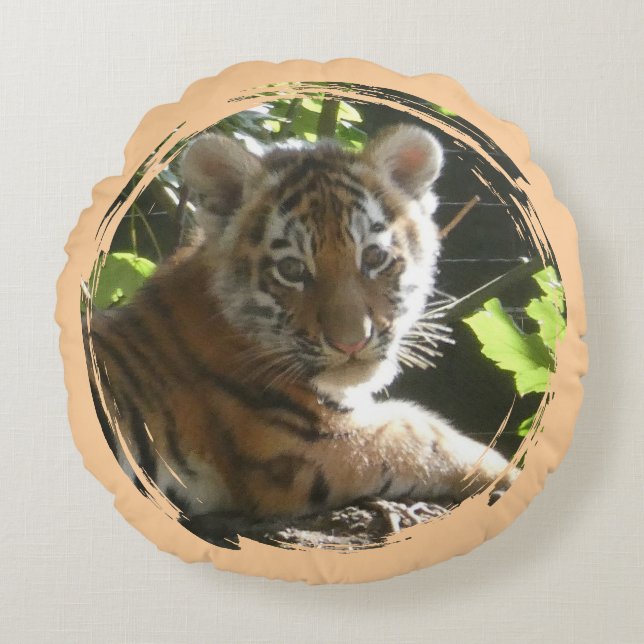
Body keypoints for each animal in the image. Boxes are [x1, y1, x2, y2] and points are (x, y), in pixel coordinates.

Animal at [85, 123, 517, 529]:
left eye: (373, 257)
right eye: (292, 269)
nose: (351, 343)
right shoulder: (306, 445)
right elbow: (423, 435)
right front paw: (505, 472)